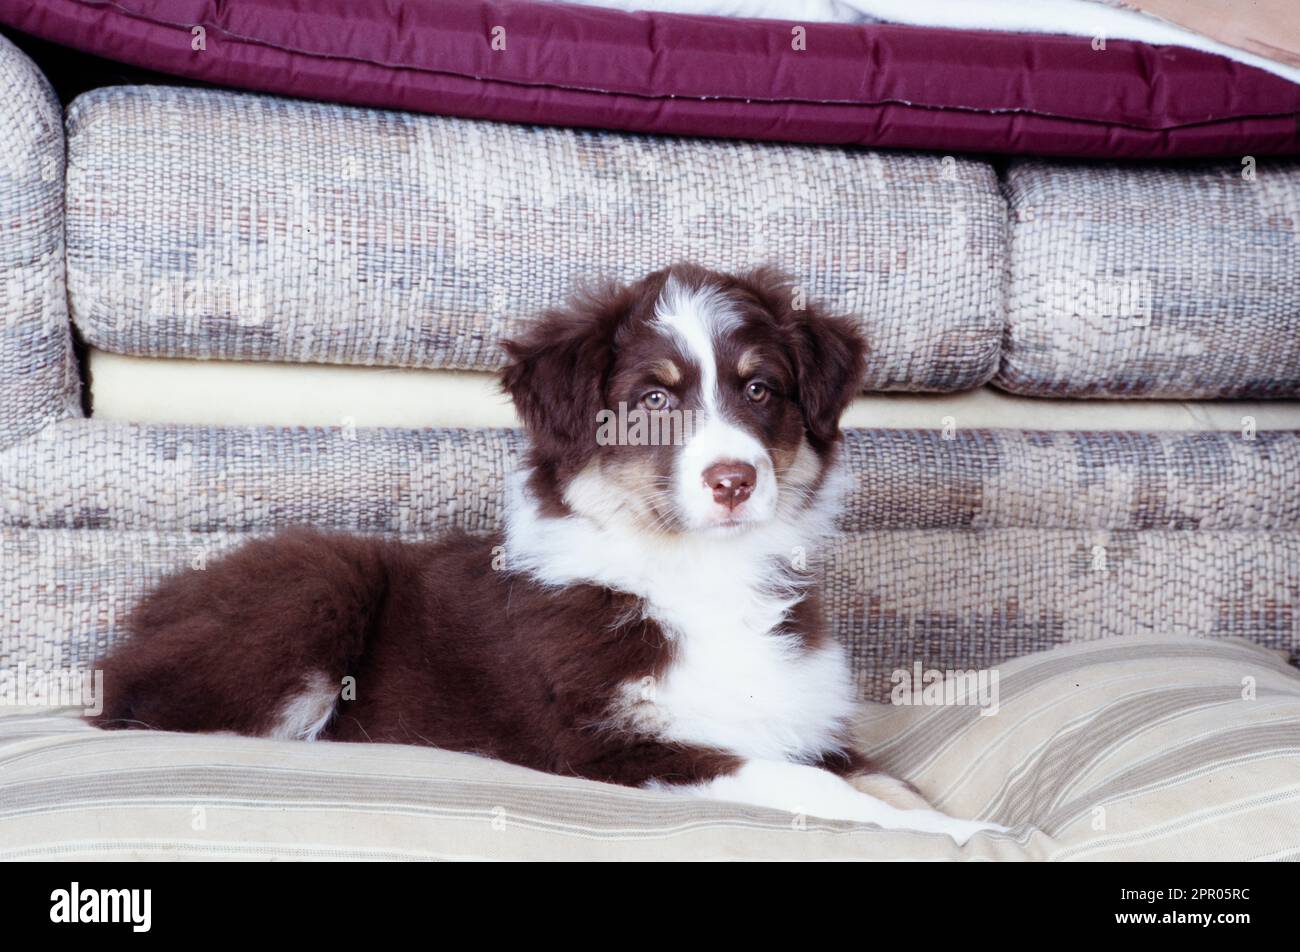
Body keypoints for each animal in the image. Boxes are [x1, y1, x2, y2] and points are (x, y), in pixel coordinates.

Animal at [96, 264, 1003, 842]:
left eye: (758, 388)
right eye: (652, 400)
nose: (734, 480)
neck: (700, 574)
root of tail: (156, 603)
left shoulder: (807, 724)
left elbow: (885, 778)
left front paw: (962, 819)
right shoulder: (609, 746)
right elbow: (810, 785)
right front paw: (961, 835)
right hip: (317, 582)